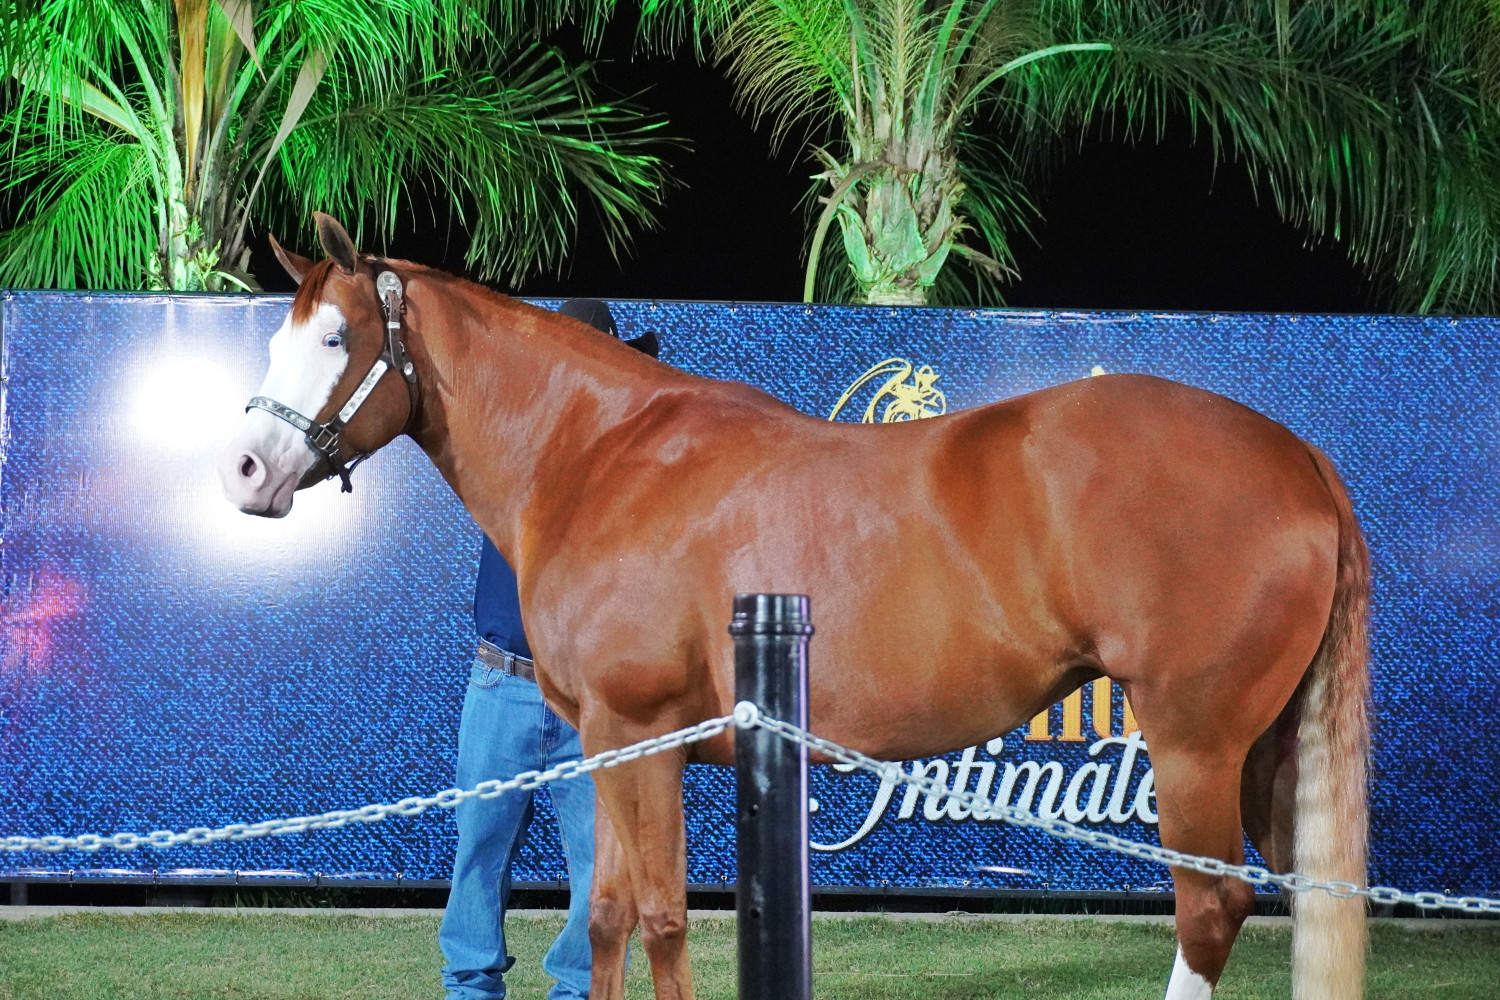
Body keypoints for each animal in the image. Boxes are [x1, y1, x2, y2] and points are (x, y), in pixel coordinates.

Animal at [219, 214, 1369, 1000]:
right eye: (279, 339)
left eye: (336, 340)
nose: (246, 470)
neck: (601, 454)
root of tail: (1295, 454)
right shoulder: (616, 742)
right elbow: (607, 917)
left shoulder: (635, 731)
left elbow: (660, 916)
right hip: (1259, 753)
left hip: (1195, 741)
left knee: (1210, 907)